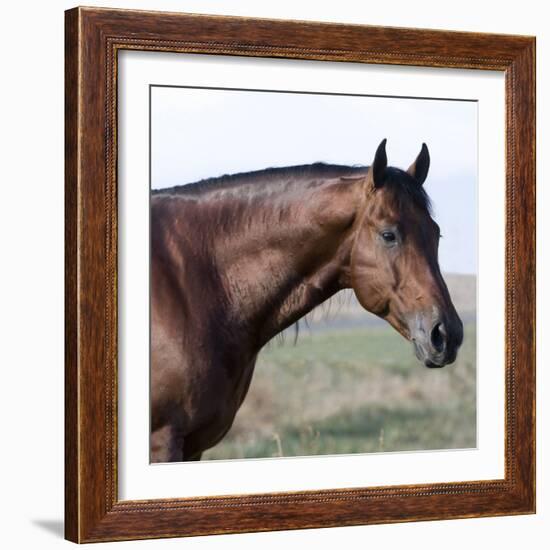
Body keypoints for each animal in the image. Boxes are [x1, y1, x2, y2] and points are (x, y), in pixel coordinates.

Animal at [151, 140, 466, 464]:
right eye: (388, 234)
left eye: (436, 233)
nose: (447, 334)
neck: (195, 281)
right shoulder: (164, 440)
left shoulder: (195, 447)